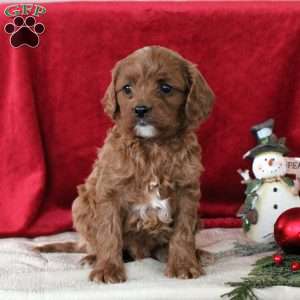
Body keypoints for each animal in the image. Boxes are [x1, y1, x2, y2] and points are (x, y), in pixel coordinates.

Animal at [36, 46, 214, 284]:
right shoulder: (109, 191)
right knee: (94, 242)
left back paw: (193, 253)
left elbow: (183, 233)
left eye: (166, 88)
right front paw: (107, 269)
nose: (140, 109)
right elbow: (109, 233)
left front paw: (184, 264)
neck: (152, 145)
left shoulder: (188, 191)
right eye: (127, 88)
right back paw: (93, 257)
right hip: (81, 203)